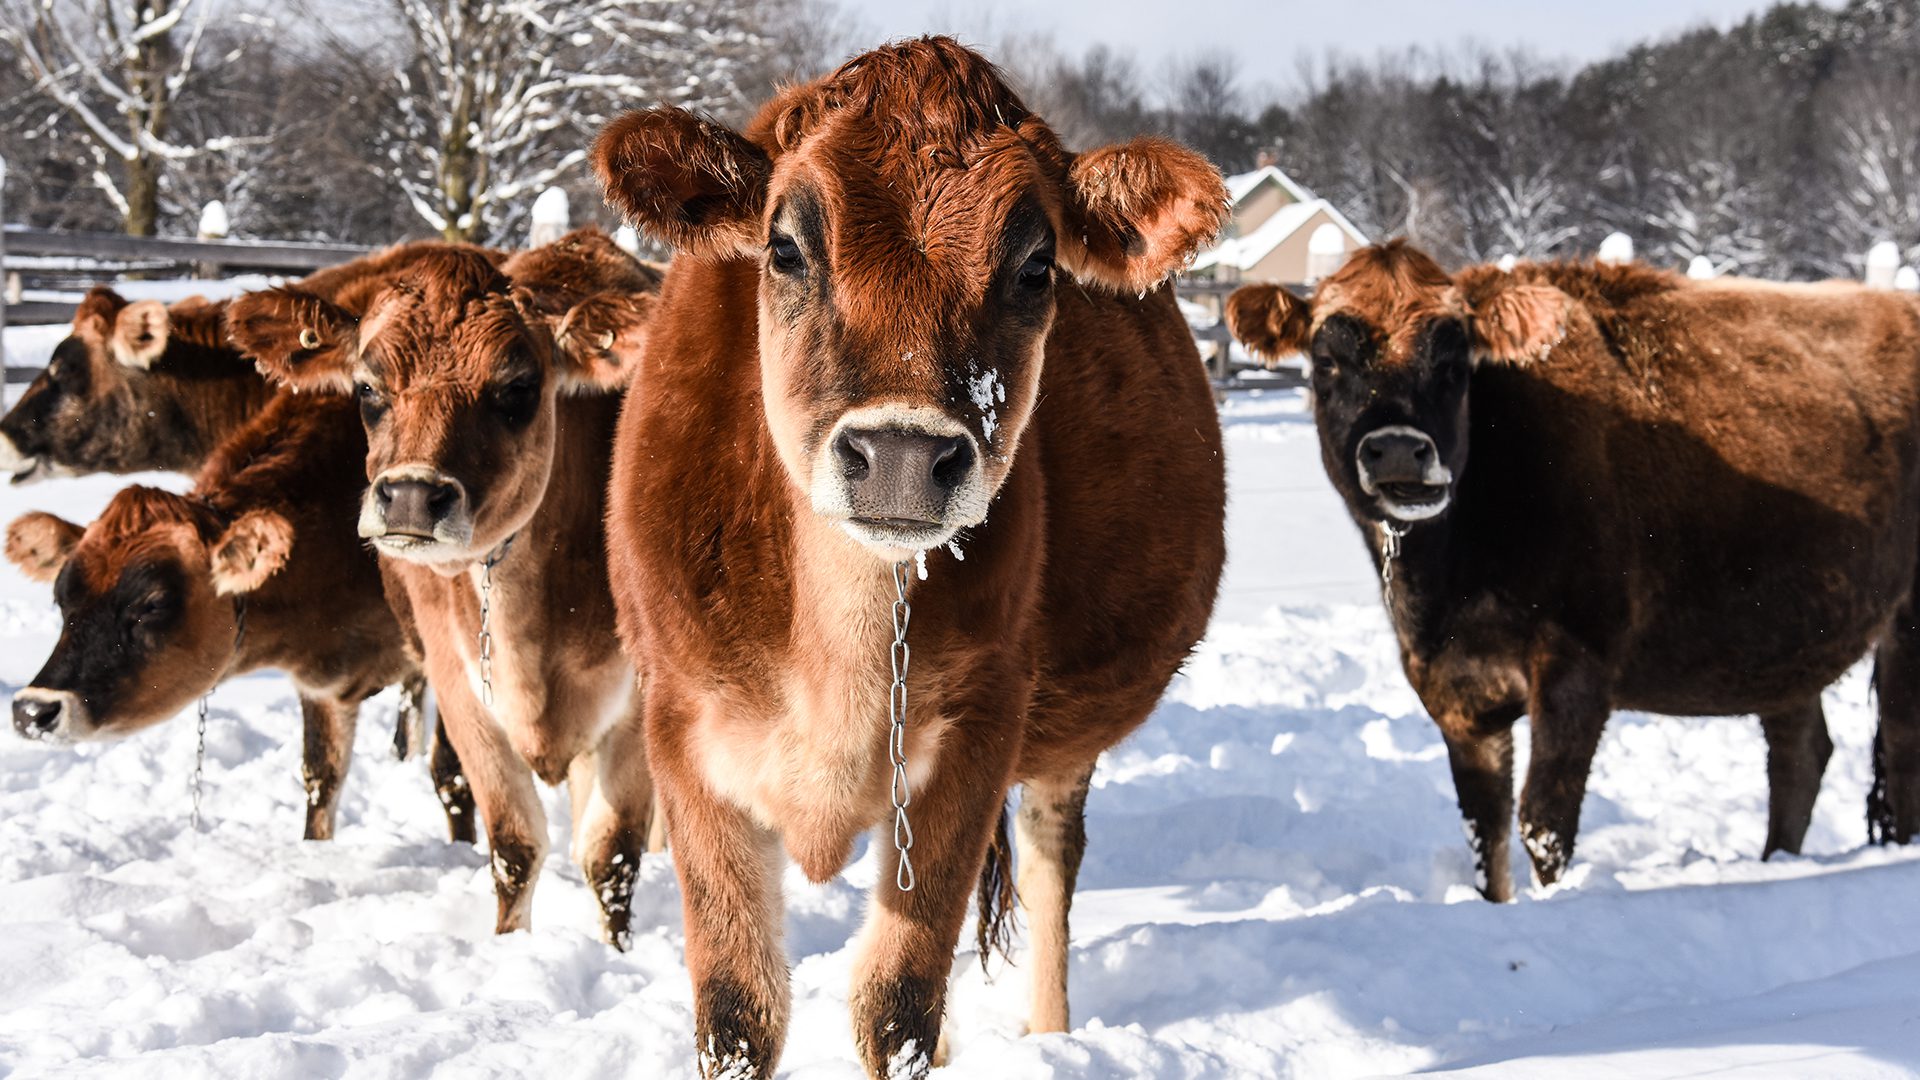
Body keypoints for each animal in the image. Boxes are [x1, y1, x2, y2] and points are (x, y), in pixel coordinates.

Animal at [242, 229, 662, 948]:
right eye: (366, 387)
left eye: (518, 388)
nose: (412, 495)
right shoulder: (460, 683)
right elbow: (516, 847)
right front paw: (510, 947)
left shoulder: (635, 698)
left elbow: (612, 856)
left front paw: (618, 955)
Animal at [590, 37, 1229, 1077]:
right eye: (784, 246)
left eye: (1037, 267)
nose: (897, 454)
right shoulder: (682, 728)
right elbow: (738, 1010)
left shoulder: (975, 736)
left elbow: (897, 1004)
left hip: (1061, 745)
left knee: (1051, 862)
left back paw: (1050, 1033)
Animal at [1225, 241, 1920, 901]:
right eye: (1327, 361)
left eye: (1454, 363)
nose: (1398, 449)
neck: (1450, 575)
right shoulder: (1455, 690)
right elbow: (1486, 830)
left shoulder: (1576, 669)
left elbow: (1544, 825)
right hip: (1782, 638)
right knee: (1800, 753)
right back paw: (1776, 862)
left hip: (1906, 620)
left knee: (1899, 746)